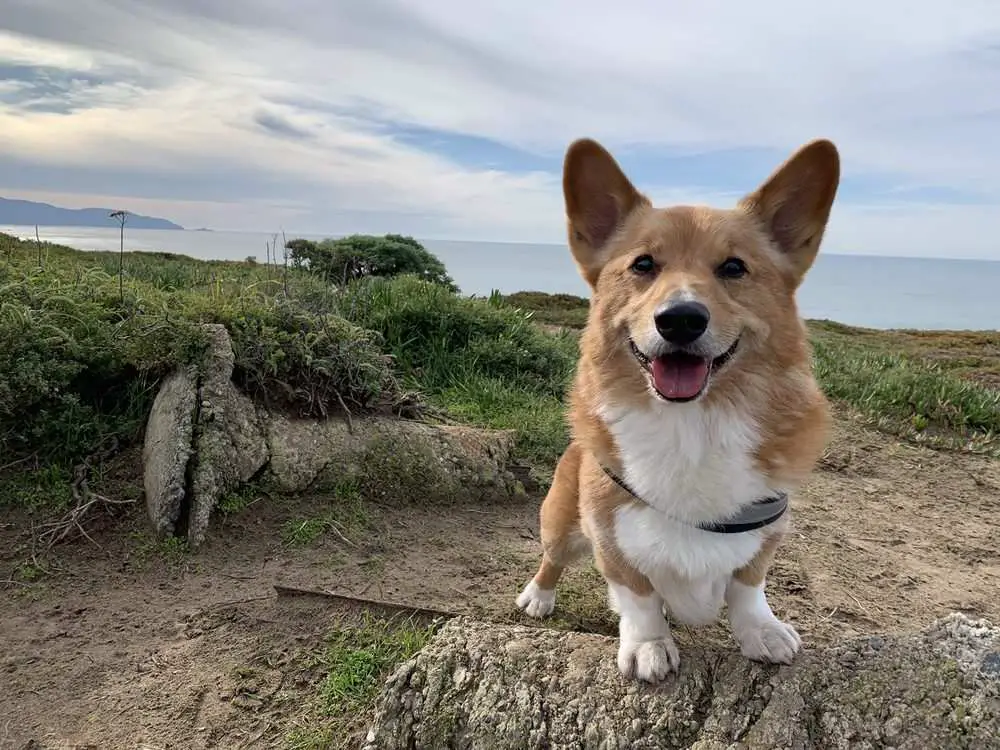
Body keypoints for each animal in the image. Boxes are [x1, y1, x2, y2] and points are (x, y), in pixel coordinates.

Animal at [520, 138, 840, 684]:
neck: (692, 424)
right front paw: (649, 646)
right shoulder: (610, 536)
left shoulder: (766, 533)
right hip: (562, 522)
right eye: (643, 265)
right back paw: (537, 597)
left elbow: (748, 587)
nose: (681, 320)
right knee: (553, 559)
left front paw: (761, 631)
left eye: (733, 268)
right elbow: (639, 595)